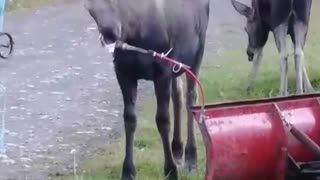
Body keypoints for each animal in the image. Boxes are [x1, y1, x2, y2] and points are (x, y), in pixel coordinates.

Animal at [84, 0, 210, 179]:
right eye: (89, 5)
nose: (110, 33)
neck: (134, 33)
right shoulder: (123, 72)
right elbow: (129, 119)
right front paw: (128, 170)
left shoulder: (162, 69)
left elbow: (163, 119)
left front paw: (170, 170)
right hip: (176, 66)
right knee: (178, 95)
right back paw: (177, 149)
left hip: (197, 53)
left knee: (191, 97)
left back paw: (191, 158)